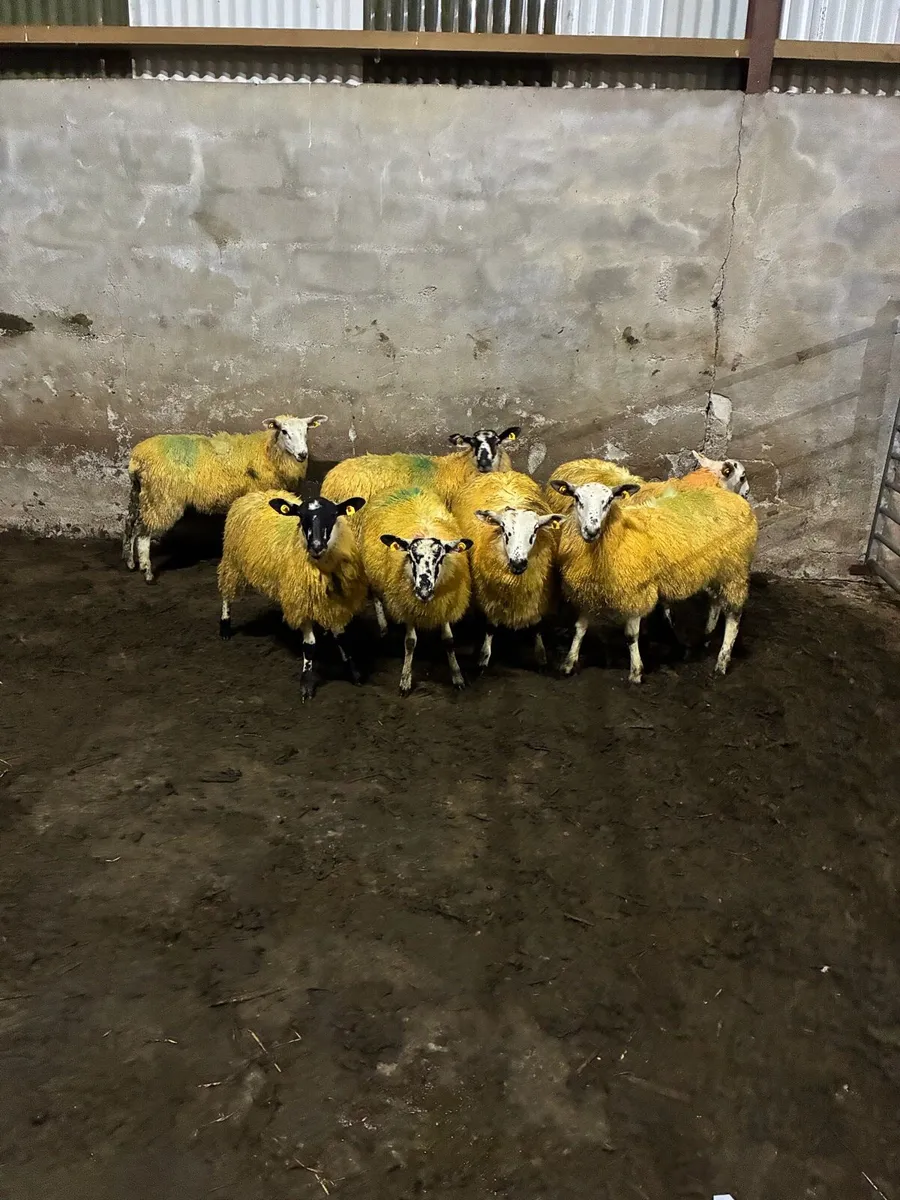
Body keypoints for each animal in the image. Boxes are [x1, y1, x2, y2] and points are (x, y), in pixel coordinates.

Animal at [123, 414, 327, 583]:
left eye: (306, 430)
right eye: (284, 431)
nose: (302, 454)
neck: (268, 451)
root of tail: (137, 458)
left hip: (141, 494)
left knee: (131, 526)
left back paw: (130, 563)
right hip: (162, 498)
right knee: (143, 534)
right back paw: (147, 572)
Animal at [217, 490, 366, 701]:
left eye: (333, 515)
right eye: (301, 517)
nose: (316, 546)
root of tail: (255, 493)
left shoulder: (334, 601)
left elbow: (342, 638)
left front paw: (354, 673)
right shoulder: (301, 600)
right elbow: (310, 646)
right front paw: (306, 684)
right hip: (232, 560)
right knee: (226, 593)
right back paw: (225, 627)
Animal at [358, 486, 473, 695]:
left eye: (440, 557)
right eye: (412, 556)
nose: (423, 590)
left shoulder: (444, 604)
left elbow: (449, 640)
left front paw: (457, 676)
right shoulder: (407, 604)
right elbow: (410, 642)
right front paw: (405, 680)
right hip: (373, 571)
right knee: (376, 596)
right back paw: (383, 626)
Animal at [452, 471, 563, 671]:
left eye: (535, 530)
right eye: (504, 529)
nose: (518, 563)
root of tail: (500, 472)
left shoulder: (538, 595)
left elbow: (536, 626)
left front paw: (541, 658)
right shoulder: (489, 595)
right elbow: (490, 626)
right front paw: (483, 659)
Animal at [551, 478, 757, 683]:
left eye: (609, 500)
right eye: (577, 498)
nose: (591, 530)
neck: (619, 535)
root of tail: (736, 499)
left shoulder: (637, 592)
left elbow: (631, 636)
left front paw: (636, 672)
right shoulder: (588, 591)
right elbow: (580, 628)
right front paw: (568, 664)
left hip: (735, 570)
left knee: (733, 616)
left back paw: (721, 662)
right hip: (716, 570)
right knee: (715, 602)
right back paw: (707, 637)